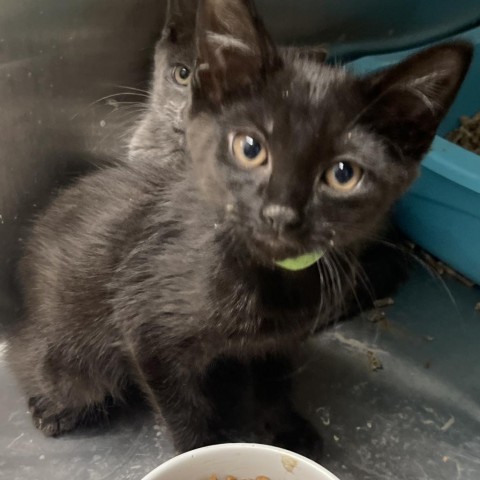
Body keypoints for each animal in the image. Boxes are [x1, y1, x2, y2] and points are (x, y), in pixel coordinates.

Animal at [8, 0, 472, 458]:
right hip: (70, 363)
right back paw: (52, 408)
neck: (271, 280)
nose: (279, 213)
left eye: (344, 174)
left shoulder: (281, 338)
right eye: (250, 148)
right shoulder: (147, 328)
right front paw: (201, 451)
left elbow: (275, 377)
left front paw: (284, 426)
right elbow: (183, 410)